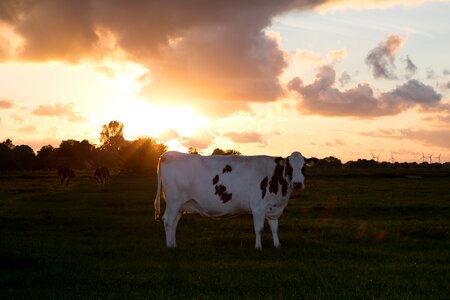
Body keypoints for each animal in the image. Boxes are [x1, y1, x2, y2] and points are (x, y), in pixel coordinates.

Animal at [155, 151, 320, 250]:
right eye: (290, 167)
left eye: (304, 167)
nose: (297, 184)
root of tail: (168, 154)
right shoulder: (258, 207)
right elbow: (259, 228)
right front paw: (258, 247)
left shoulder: (273, 208)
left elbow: (274, 228)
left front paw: (277, 245)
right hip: (174, 201)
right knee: (168, 220)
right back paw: (169, 246)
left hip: (181, 204)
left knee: (174, 223)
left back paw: (173, 244)